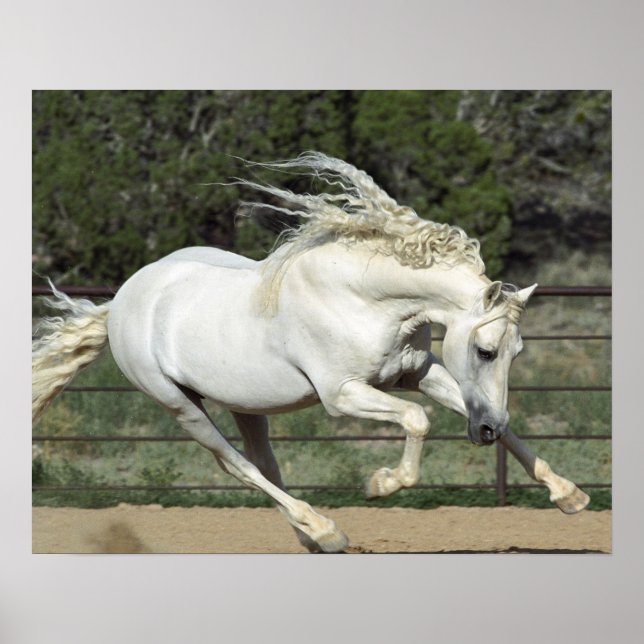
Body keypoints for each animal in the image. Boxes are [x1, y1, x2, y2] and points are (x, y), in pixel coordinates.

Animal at [32, 152, 589, 553]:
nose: (485, 429)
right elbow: (417, 420)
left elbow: (477, 419)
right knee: (240, 468)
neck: (364, 298)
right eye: (485, 349)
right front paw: (382, 484)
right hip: (179, 405)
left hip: (245, 404)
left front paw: (569, 495)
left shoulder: (417, 373)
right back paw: (325, 531)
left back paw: (311, 535)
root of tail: (122, 301)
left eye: (517, 352)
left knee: (266, 464)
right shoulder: (342, 395)